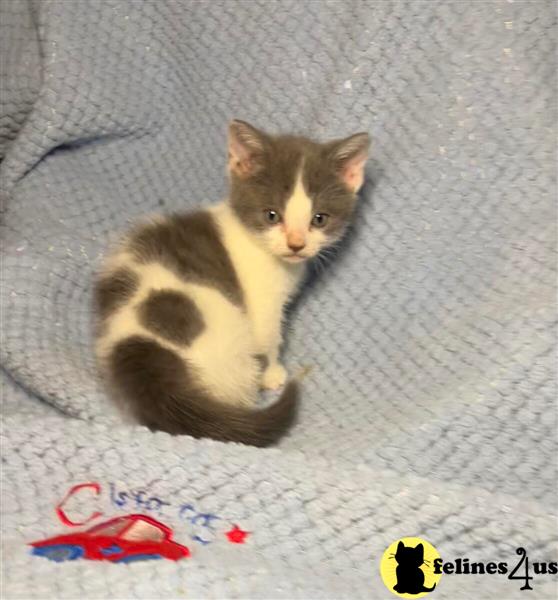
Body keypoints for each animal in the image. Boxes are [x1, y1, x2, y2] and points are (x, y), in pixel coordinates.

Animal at [94, 120, 370, 446]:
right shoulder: (262, 302)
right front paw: (273, 373)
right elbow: (269, 336)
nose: (296, 244)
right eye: (272, 215)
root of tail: (141, 351)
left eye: (319, 219)